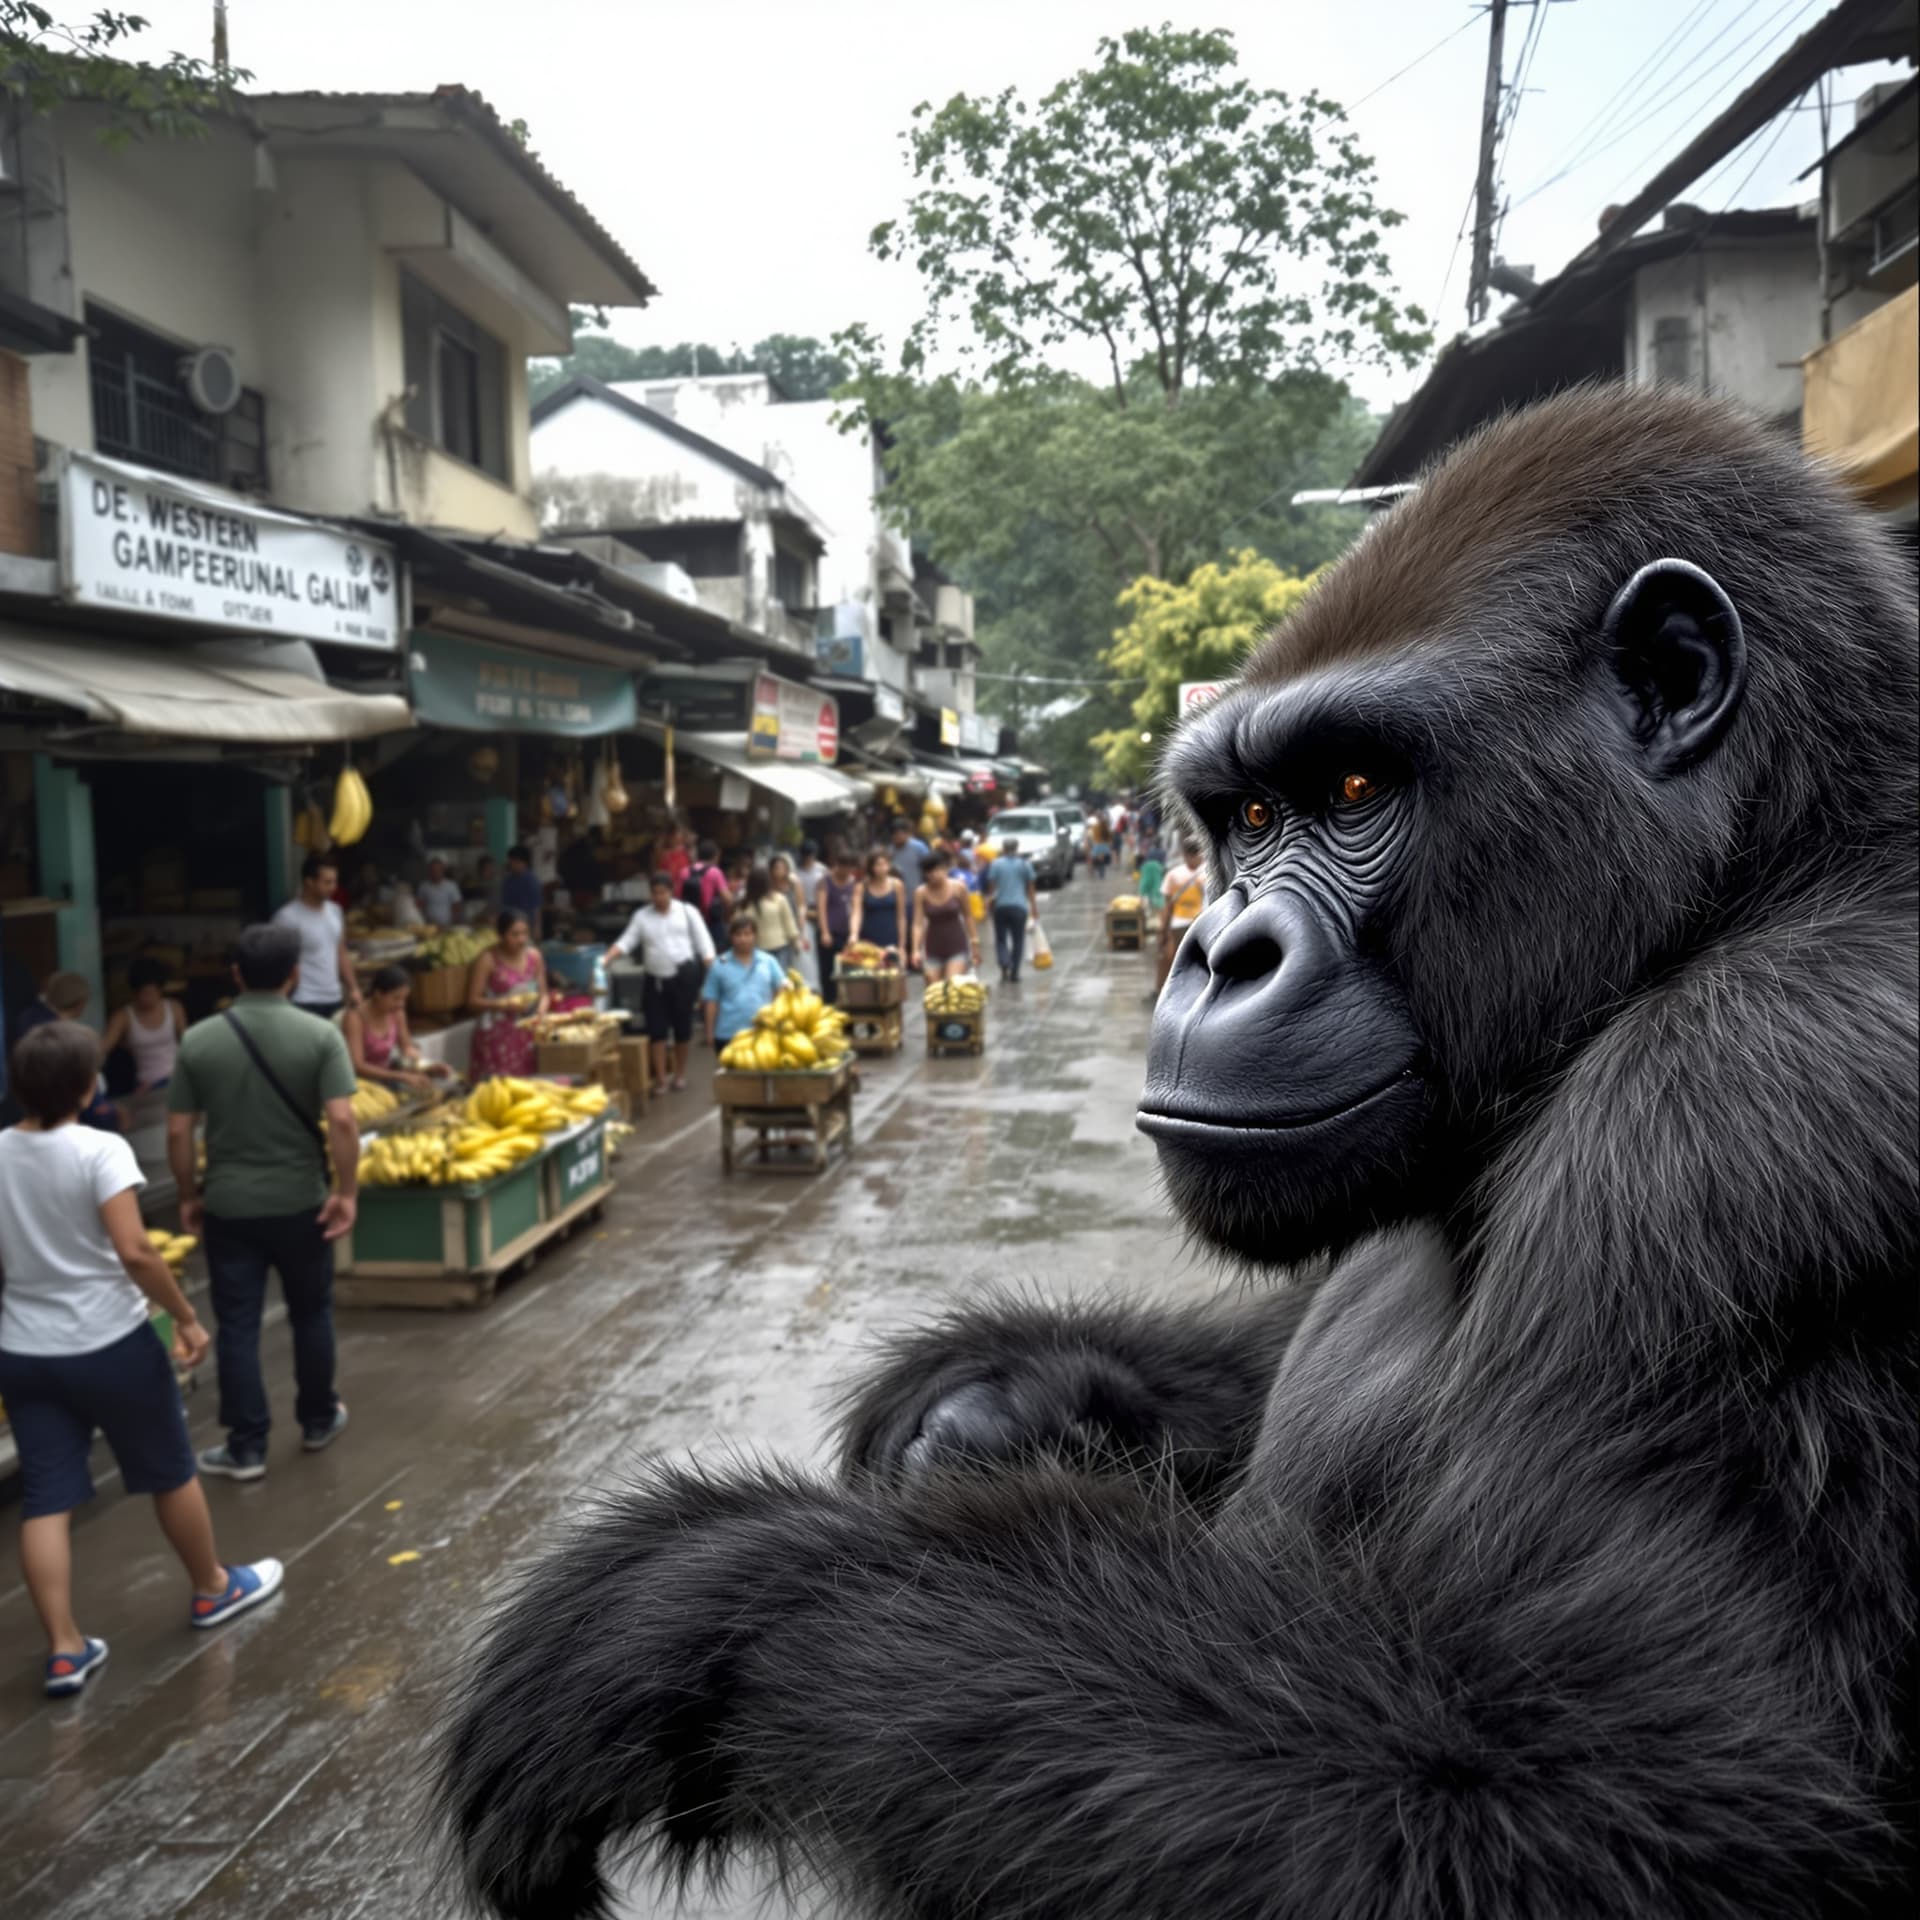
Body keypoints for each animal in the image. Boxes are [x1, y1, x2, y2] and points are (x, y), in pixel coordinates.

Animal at [440, 385, 1918, 1920]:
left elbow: (1608, 1810)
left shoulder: (1755, 1107)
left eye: (1352, 786)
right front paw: (993, 1401)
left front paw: (717, 1597)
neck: (1767, 878)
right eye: (1250, 817)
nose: (1213, 948)